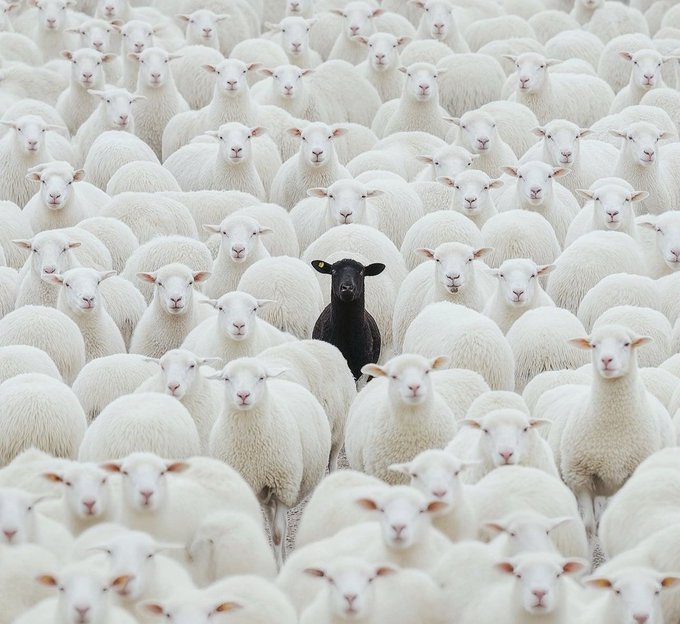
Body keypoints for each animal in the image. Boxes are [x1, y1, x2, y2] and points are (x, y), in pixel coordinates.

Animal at [208, 357, 331, 566]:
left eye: (261, 378)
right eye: (226, 379)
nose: (243, 395)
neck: (252, 449)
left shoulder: (283, 488)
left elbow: (277, 534)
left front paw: (280, 566)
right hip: (263, 493)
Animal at [539, 325, 674, 537]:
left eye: (627, 343)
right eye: (594, 345)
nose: (606, 360)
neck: (612, 427)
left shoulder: (628, 475)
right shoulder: (580, 475)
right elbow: (587, 523)